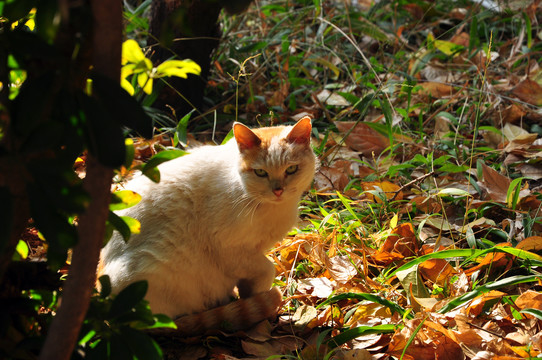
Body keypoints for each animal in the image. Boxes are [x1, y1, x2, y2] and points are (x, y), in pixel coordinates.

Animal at [100, 116, 316, 334]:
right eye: (260, 173)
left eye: (291, 169)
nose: (278, 190)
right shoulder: (232, 251)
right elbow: (267, 269)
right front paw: (258, 304)